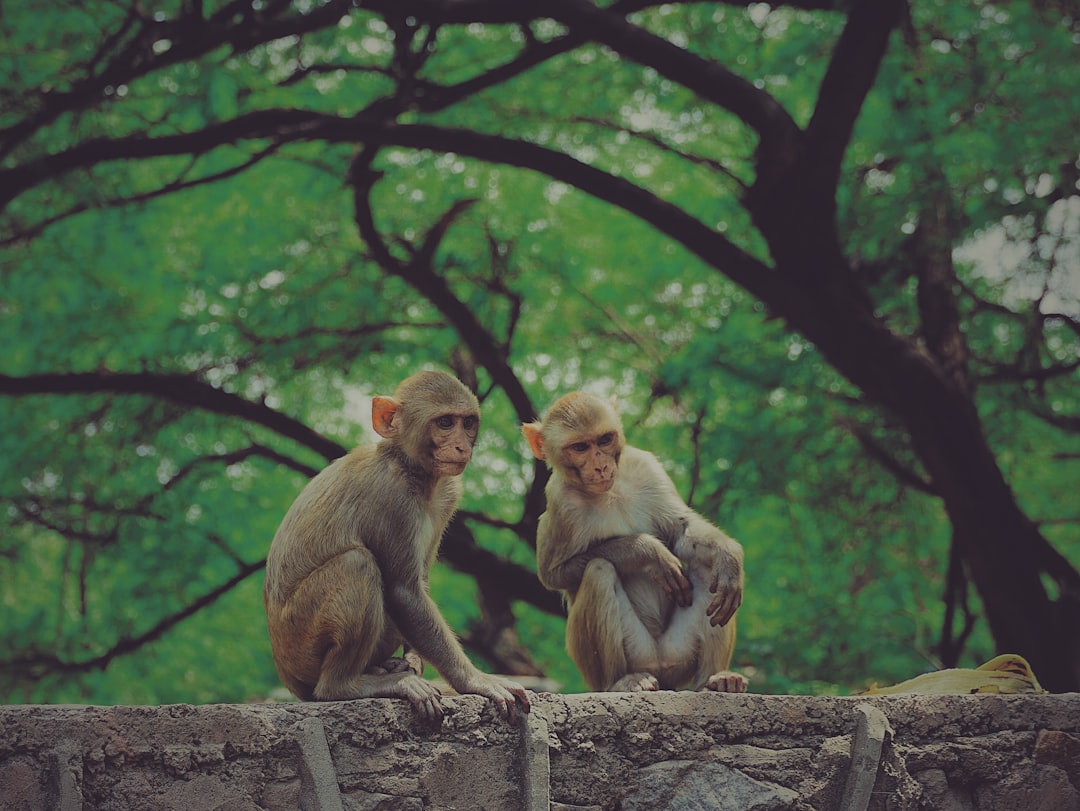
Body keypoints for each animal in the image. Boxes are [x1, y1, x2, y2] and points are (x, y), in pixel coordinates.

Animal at [262, 371, 531, 721]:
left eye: (468, 422)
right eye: (445, 422)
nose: (461, 445)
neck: (409, 467)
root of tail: (287, 677)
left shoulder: (449, 494)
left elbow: (419, 585)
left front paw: (413, 662)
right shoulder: (392, 497)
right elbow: (405, 592)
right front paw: (476, 680)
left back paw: (380, 668)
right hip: (301, 646)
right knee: (358, 563)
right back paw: (346, 685)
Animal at [520, 390, 743, 691]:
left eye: (605, 439)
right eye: (580, 447)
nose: (601, 466)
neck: (608, 491)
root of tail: (661, 667)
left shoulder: (646, 466)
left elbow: (680, 529)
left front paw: (728, 554)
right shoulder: (559, 502)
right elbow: (554, 575)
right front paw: (646, 552)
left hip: (679, 655)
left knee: (711, 570)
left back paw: (715, 679)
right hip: (630, 657)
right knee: (598, 570)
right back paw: (621, 682)